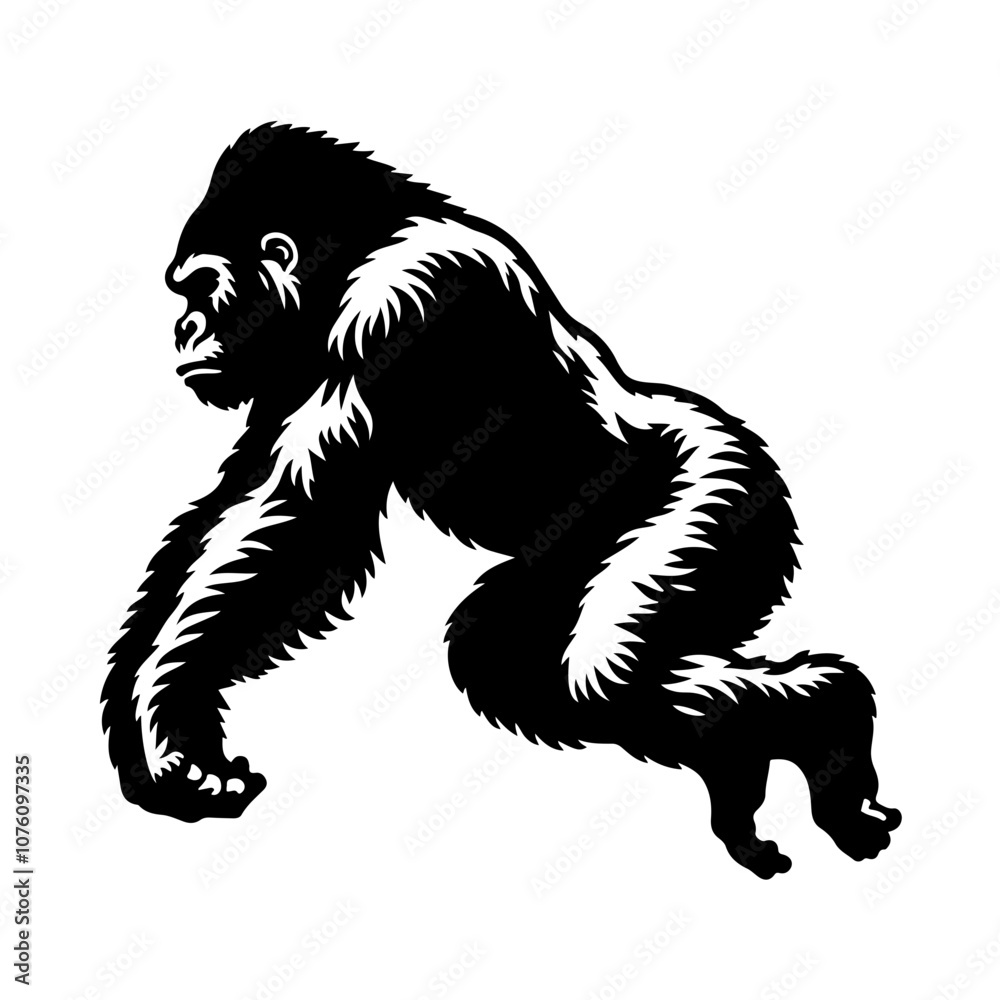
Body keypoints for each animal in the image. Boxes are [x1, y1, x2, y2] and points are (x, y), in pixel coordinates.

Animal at [101, 123, 900, 877]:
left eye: (200, 287)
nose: (184, 328)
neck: (348, 260)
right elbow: (269, 513)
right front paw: (169, 734)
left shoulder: (397, 305)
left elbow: (305, 521)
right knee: (507, 657)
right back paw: (750, 766)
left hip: (720, 504)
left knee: (601, 672)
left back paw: (829, 720)